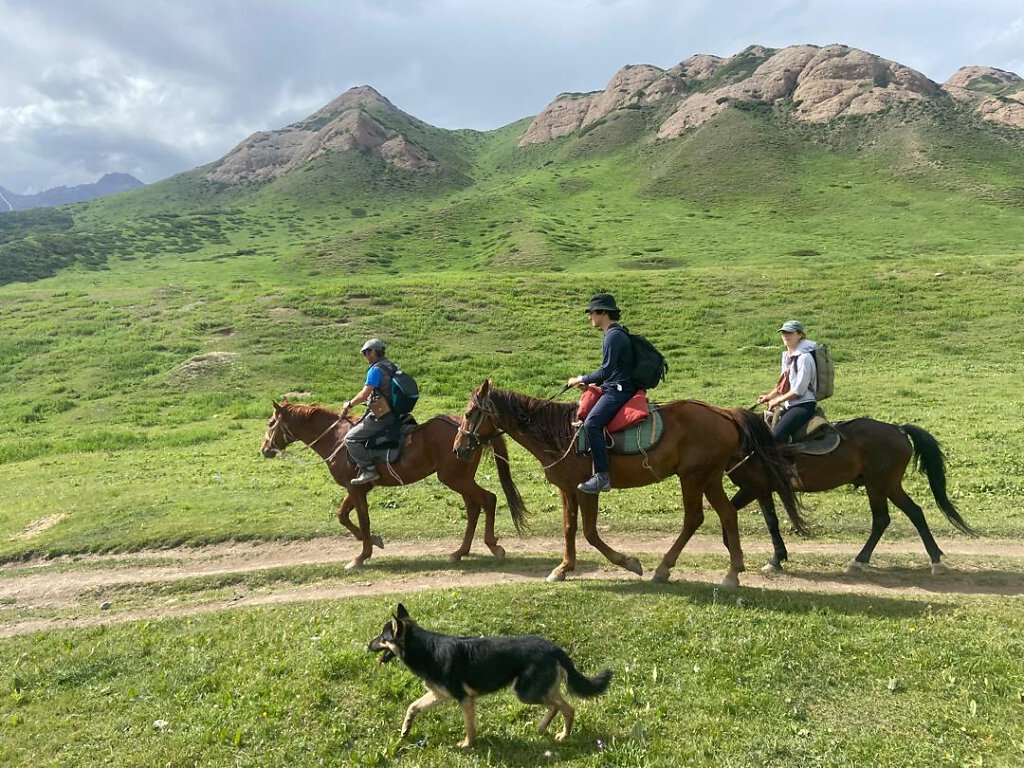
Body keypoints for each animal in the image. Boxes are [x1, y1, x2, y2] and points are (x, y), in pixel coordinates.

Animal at [260, 403, 528, 573]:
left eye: (271, 422)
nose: (264, 449)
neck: (337, 439)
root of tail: (470, 433)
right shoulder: (357, 487)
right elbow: (343, 516)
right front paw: (374, 541)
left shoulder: (356, 490)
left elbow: (362, 520)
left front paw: (361, 557)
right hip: (460, 480)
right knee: (474, 508)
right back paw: (460, 552)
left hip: (456, 479)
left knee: (488, 500)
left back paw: (492, 546)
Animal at [368, 606, 606, 749]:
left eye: (382, 638)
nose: (367, 645)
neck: (425, 649)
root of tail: (554, 648)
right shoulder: (439, 695)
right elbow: (412, 707)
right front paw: (406, 729)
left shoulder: (464, 699)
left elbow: (469, 726)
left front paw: (467, 744)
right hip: (538, 689)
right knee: (561, 706)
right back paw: (549, 730)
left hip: (526, 692)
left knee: (564, 707)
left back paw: (560, 734)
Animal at [454, 380, 798, 589]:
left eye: (470, 413)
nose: (458, 448)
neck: (559, 432)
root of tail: (723, 413)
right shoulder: (567, 489)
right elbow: (569, 529)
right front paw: (563, 568)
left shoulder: (586, 489)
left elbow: (590, 533)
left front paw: (629, 563)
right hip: (709, 477)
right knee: (726, 514)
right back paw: (730, 572)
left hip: (694, 478)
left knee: (694, 518)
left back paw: (668, 568)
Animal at [724, 421, 970, 577]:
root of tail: (898, 429)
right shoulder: (762, 490)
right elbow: (771, 522)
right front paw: (776, 559)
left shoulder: (752, 488)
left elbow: (728, 513)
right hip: (888, 486)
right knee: (910, 513)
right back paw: (933, 558)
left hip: (878, 484)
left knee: (885, 518)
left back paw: (860, 561)